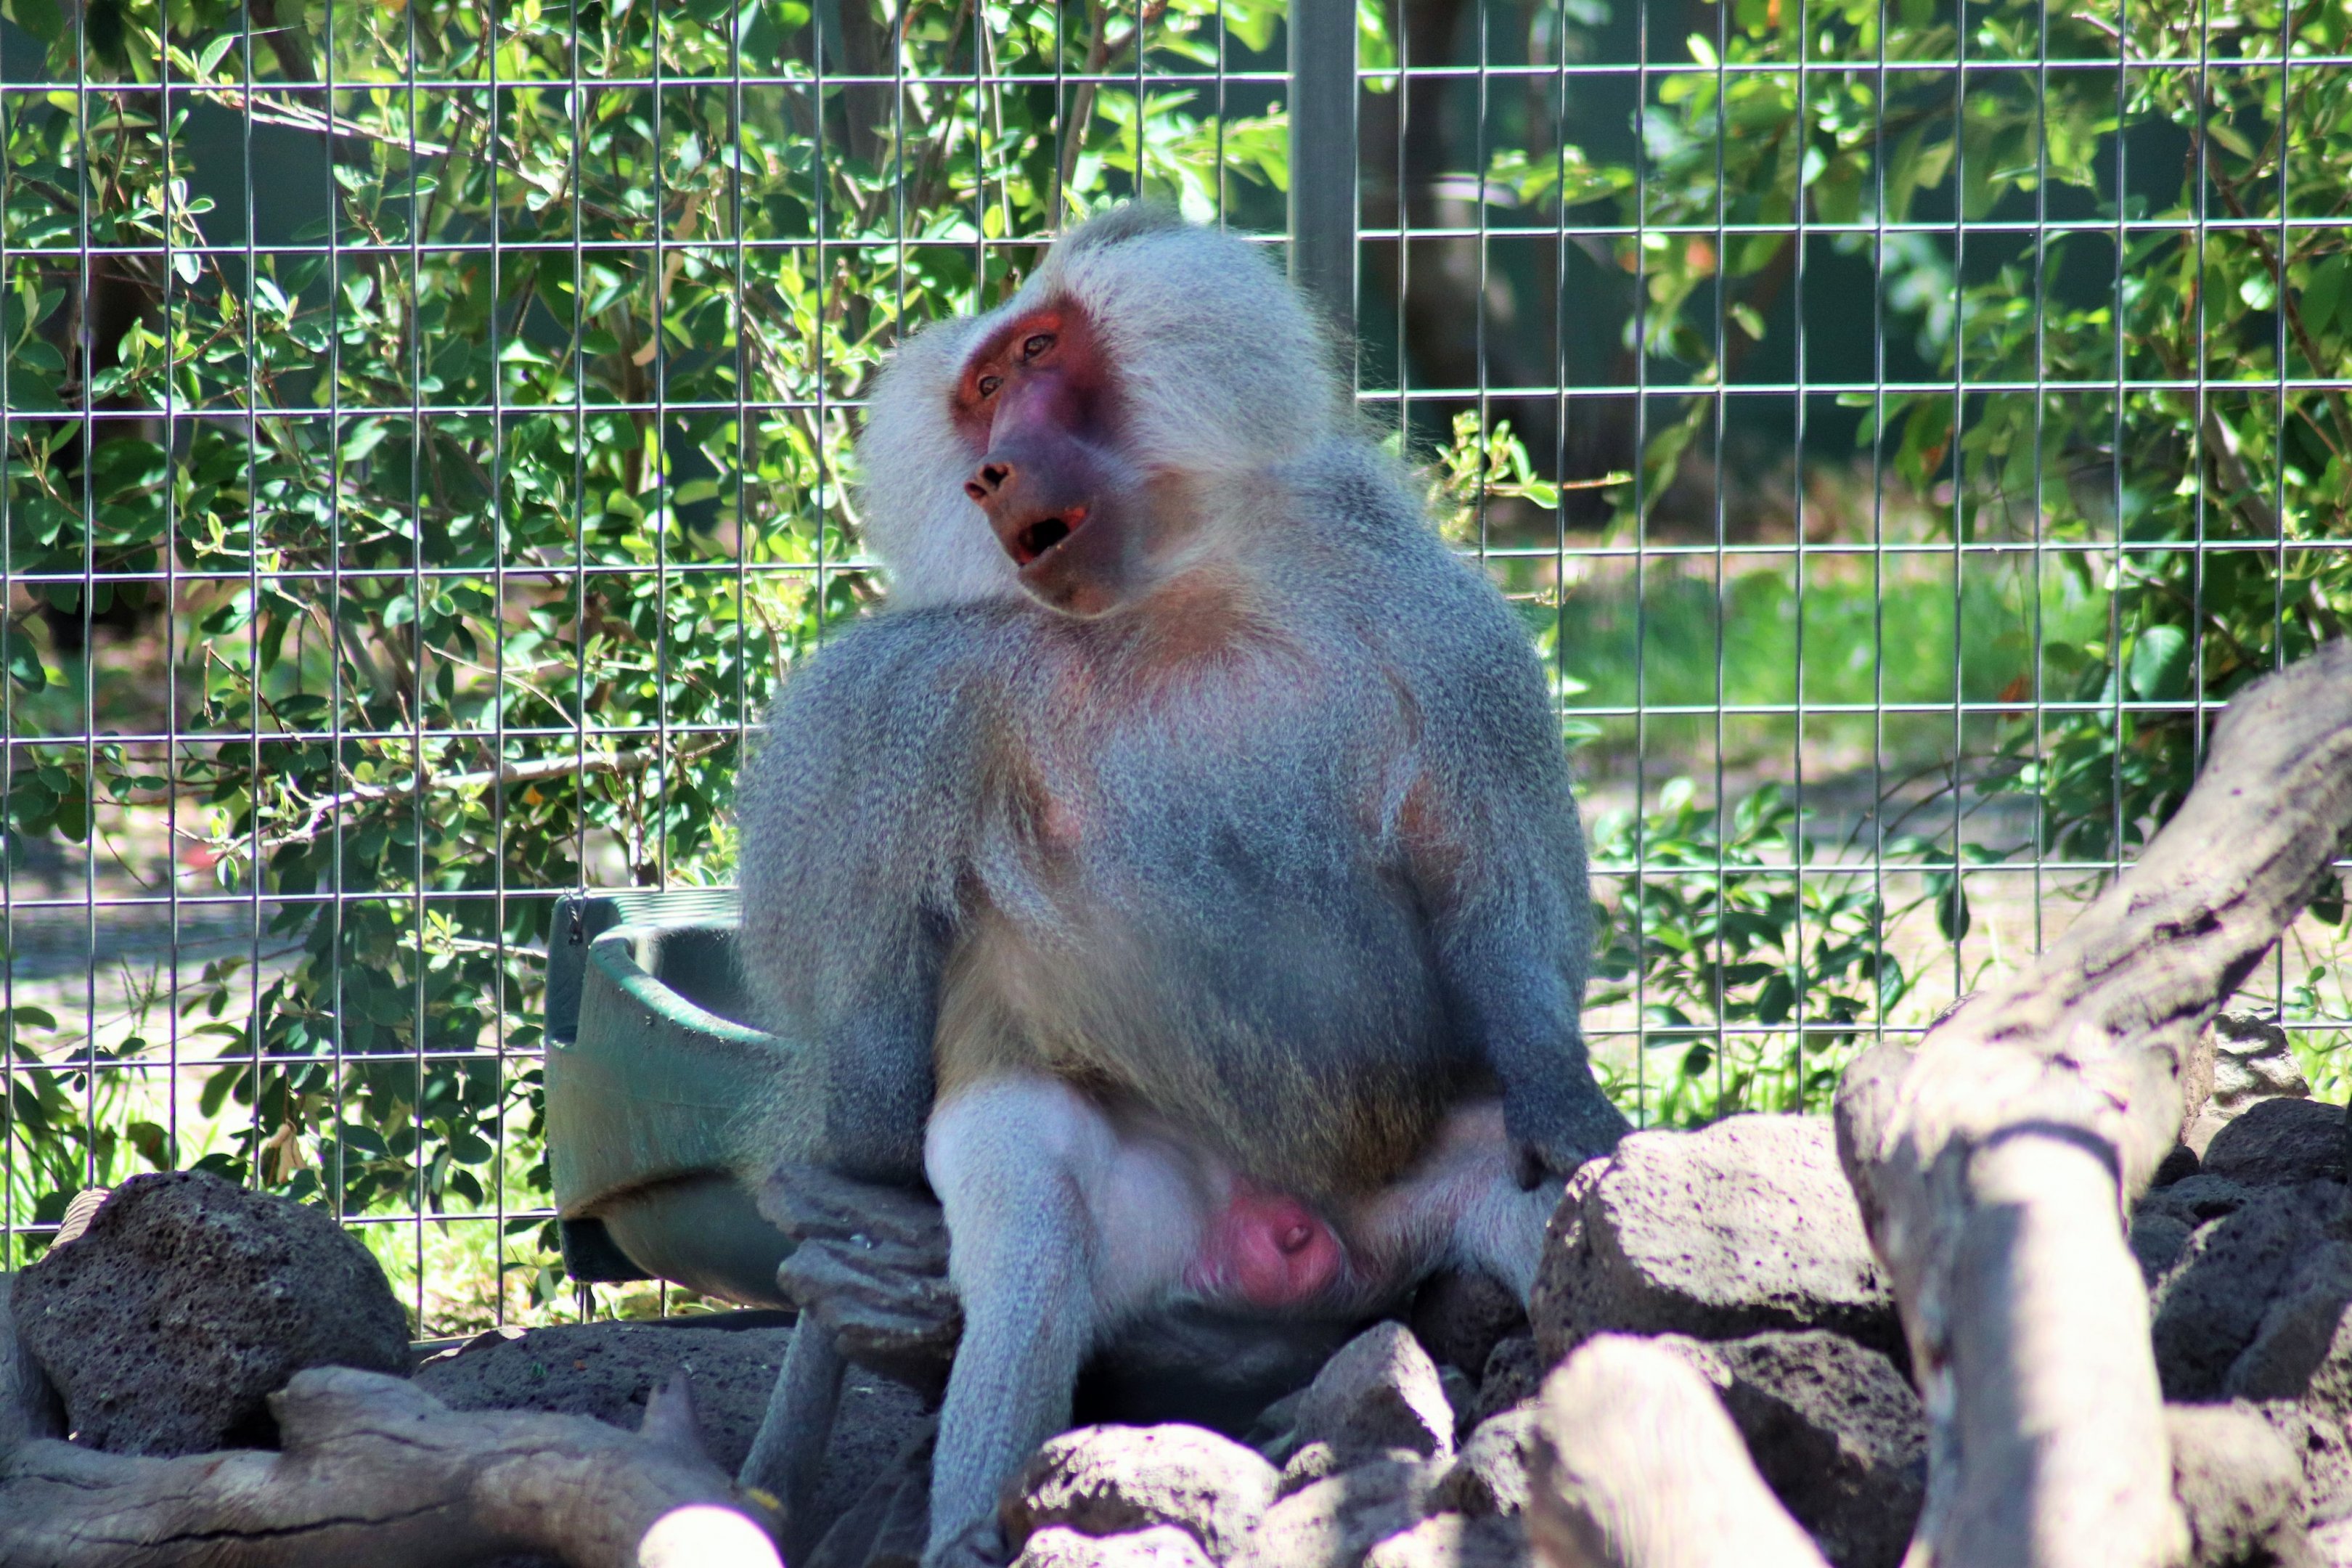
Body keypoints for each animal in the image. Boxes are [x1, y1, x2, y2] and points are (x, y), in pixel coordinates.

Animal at [731, 204, 1628, 1563]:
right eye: (977, 395)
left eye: (1036, 356)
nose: (988, 475)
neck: (1168, 605)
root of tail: (1298, 1241)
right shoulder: (899, 708)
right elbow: (877, 1036)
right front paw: (850, 1253)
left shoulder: (1409, 602)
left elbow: (1496, 900)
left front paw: (1570, 1104)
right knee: (1035, 1236)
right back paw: (975, 1518)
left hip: (1437, 1185)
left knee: (1543, 1224)